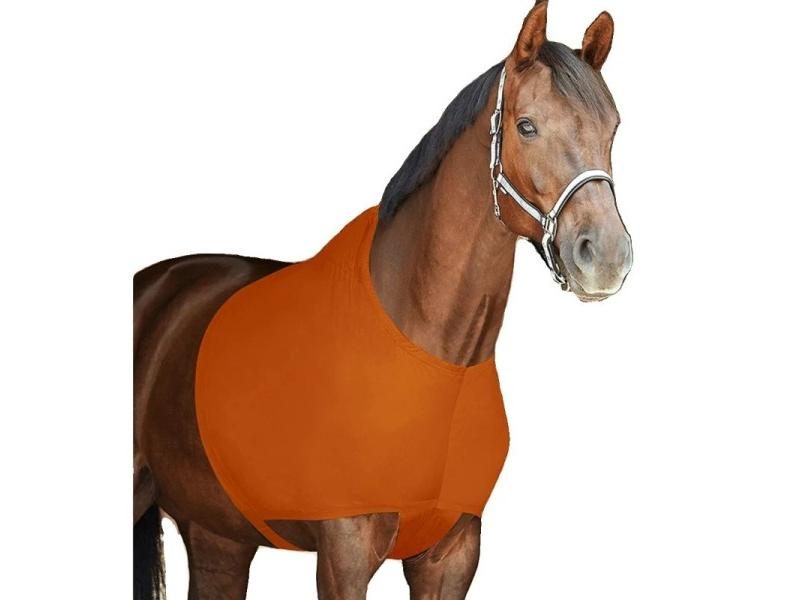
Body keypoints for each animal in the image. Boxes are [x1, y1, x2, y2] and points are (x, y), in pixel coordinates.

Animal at [133, 2, 632, 598]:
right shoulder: (344, 554)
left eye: (613, 127)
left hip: (218, 537)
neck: (434, 355)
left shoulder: (452, 554)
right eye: (526, 126)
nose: (606, 256)